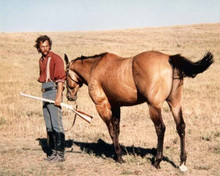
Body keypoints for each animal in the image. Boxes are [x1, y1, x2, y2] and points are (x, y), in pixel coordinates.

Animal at [64, 50, 213, 170]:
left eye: (65, 76)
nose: (69, 96)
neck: (95, 67)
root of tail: (168, 58)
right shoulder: (116, 106)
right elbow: (117, 130)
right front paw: (117, 154)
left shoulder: (102, 106)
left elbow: (111, 131)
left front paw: (119, 157)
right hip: (175, 104)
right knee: (180, 127)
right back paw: (182, 162)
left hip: (154, 107)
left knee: (160, 129)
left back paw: (157, 161)